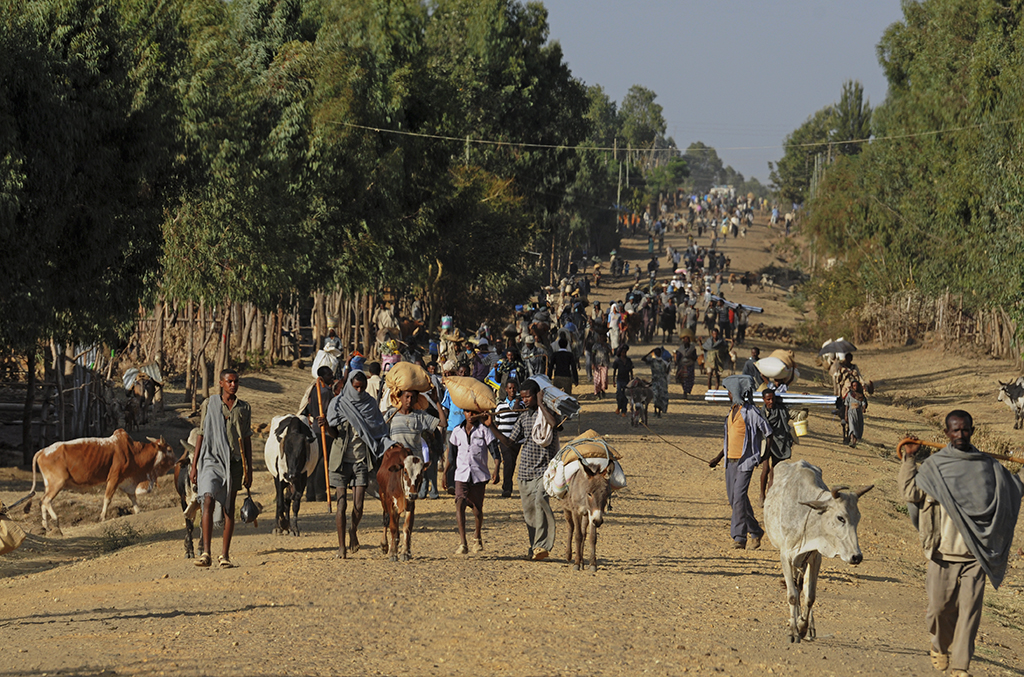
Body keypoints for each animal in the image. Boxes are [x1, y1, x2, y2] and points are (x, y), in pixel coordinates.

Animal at [28, 429, 176, 535]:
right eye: (169, 450)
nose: (176, 461)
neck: (133, 452)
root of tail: (42, 451)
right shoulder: (114, 478)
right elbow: (107, 498)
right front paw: (102, 517)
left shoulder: (126, 480)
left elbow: (132, 497)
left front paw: (138, 511)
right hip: (57, 483)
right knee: (46, 500)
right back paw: (55, 520)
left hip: (49, 485)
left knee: (42, 501)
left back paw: (46, 526)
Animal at [763, 460, 873, 643]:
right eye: (840, 518)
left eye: (858, 518)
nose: (856, 557)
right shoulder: (785, 556)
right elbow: (792, 595)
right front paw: (793, 631)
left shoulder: (815, 558)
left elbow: (810, 597)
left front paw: (802, 626)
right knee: (796, 587)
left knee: (803, 587)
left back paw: (809, 626)